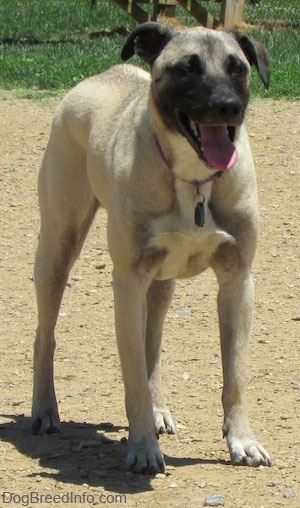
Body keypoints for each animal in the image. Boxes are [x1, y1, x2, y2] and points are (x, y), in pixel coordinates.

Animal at [32, 21, 272, 474]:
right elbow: (134, 378)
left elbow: (235, 375)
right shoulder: (128, 281)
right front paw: (142, 447)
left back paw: (159, 411)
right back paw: (44, 410)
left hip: (161, 282)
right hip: (57, 247)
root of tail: (99, 76)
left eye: (238, 68)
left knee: (152, 342)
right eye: (188, 68)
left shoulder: (237, 280)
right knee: (46, 335)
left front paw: (243, 441)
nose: (228, 106)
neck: (193, 179)